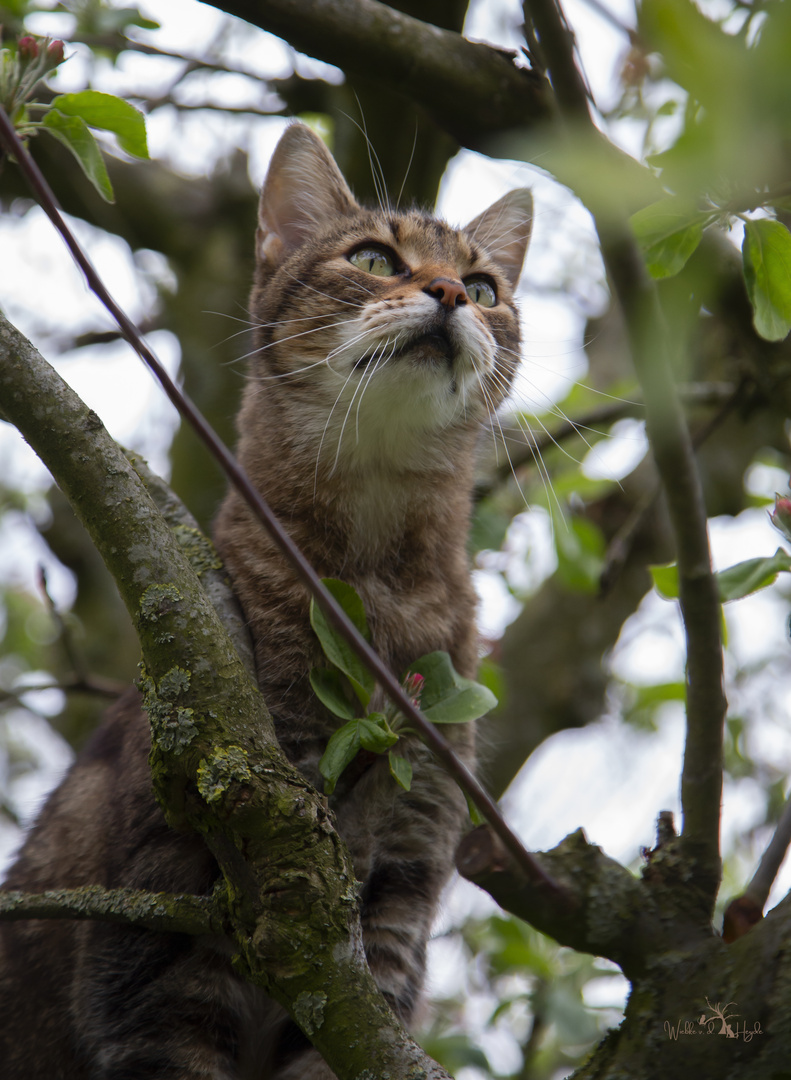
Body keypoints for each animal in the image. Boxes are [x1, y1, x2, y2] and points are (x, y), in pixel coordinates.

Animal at [0, 122, 533, 1075]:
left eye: (483, 287)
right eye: (373, 256)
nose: (446, 293)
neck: (380, 578)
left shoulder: (396, 897)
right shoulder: (174, 935)